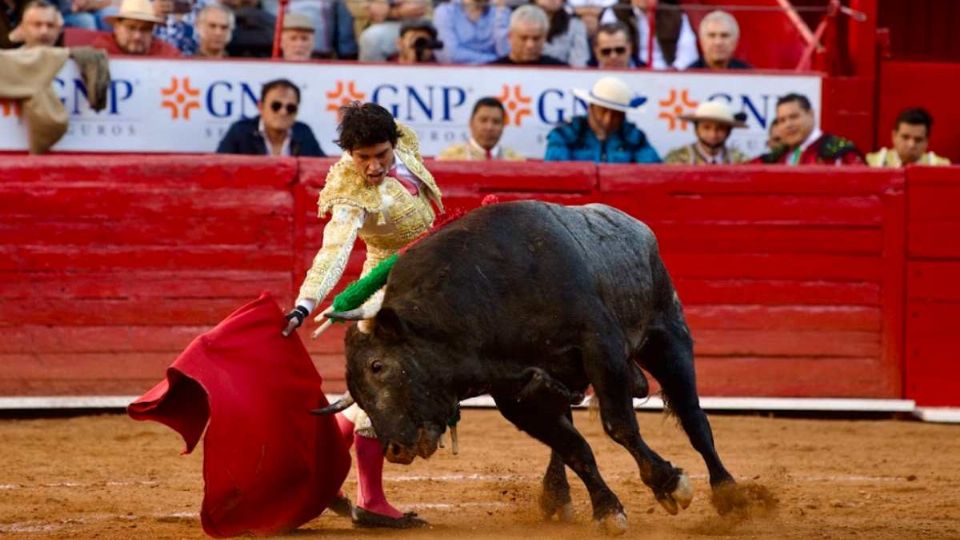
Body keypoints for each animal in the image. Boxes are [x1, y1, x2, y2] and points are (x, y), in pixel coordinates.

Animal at [330, 202, 744, 536]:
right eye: (358, 395)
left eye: (378, 366)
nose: (396, 449)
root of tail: (637, 227)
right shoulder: (517, 397)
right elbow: (574, 448)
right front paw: (607, 510)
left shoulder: (601, 347)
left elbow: (619, 426)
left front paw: (669, 484)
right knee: (568, 431)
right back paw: (556, 495)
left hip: (666, 335)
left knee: (693, 418)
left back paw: (729, 494)